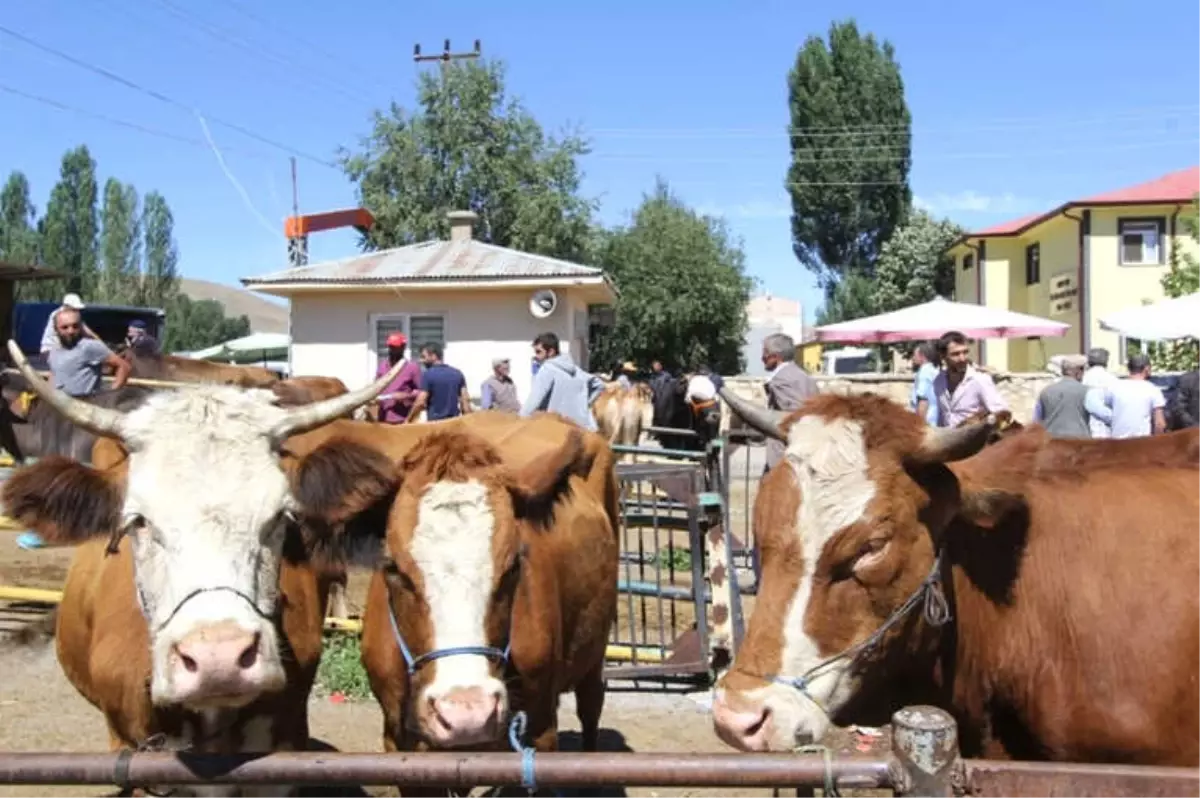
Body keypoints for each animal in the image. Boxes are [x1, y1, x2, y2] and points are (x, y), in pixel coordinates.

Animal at [284, 412, 614, 792]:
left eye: (513, 565)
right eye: (393, 567)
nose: (467, 713)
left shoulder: (541, 734)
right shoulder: (400, 743)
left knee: (592, 702)